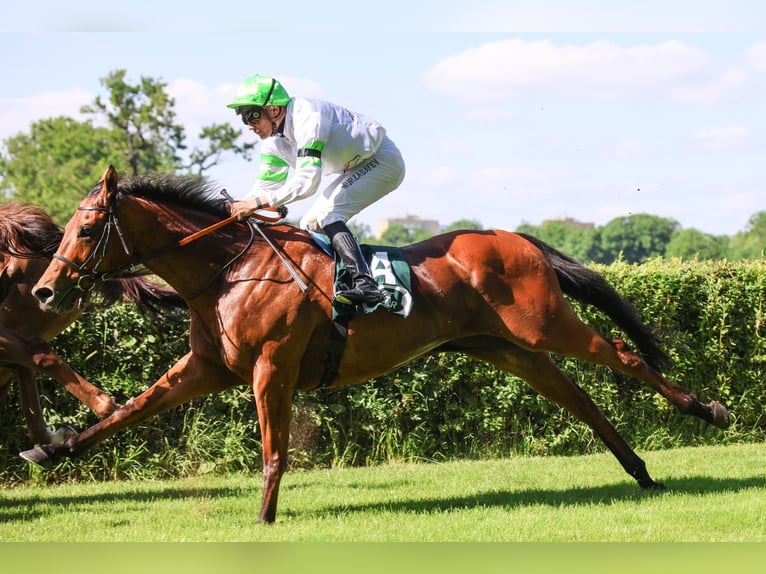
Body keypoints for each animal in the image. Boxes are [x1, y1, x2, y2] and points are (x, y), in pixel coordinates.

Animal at [26, 165, 729, 523]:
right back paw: (639, 471)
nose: (44, 290)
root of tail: (517, 237)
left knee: (626, 356)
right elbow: (127, 411)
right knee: (580, 401)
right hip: (507, 348)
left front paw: (265, 518)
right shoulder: (206, 367)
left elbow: (274, 451)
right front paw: (51, 449)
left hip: (542, 326)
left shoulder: (272, 367)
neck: (229, 269)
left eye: (87, 227)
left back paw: (709, 411)